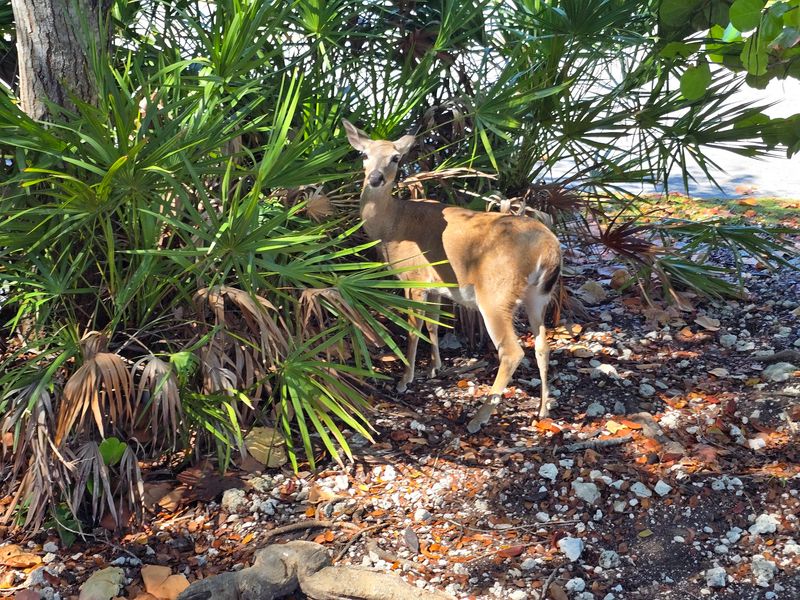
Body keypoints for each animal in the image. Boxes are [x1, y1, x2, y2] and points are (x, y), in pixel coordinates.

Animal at [343, 119, 562, 433]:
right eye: (363, 154)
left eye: (396, 158)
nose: (375, 178)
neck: (391, 226)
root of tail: (549, 248)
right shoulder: (436, 286)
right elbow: (433, 325)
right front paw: (436, 367)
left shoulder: (413, 277)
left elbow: (413, 329)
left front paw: (404, 380)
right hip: (539, 295)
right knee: (544, 344)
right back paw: (543, 409)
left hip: (496, 293)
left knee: (512, 351)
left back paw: (478, 418)